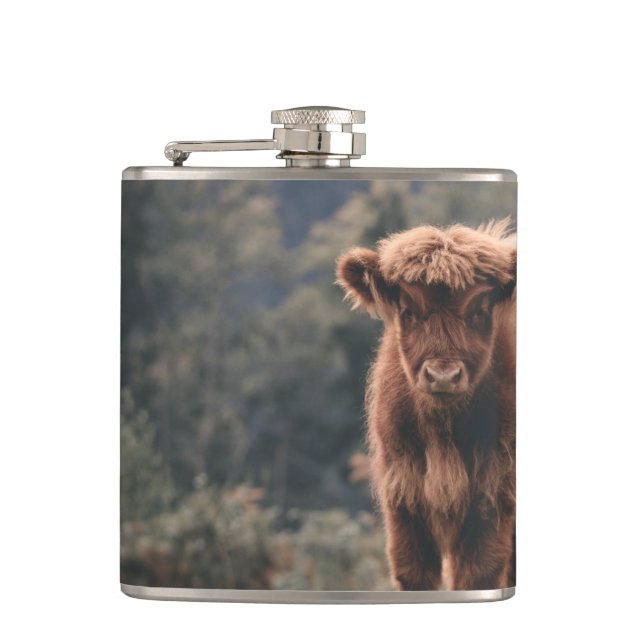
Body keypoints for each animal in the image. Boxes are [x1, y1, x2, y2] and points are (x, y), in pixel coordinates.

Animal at [336, 219, 516, 591]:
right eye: (408, 311)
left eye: (479, 311)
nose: (443, 375)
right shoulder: (403, 492)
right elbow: (412, 572)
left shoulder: (495, 492)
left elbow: (480, 573)